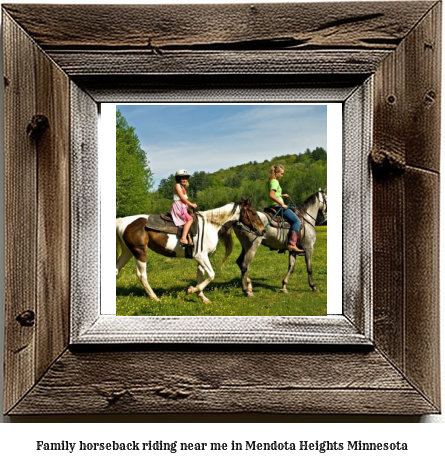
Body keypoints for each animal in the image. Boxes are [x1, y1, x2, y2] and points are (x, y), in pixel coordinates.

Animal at [116, 198, 266, 302]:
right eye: (253, 212)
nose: (263, 230)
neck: (211, 225)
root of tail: (123, 221)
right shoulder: (201, 256)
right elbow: (211, 275)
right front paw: (191, 290)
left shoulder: (203, 257)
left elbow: (201, 275)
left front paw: (202, 297)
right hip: (140, 252)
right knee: (142, 275)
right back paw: (154, 297)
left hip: (128, 252)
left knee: (116, 269)